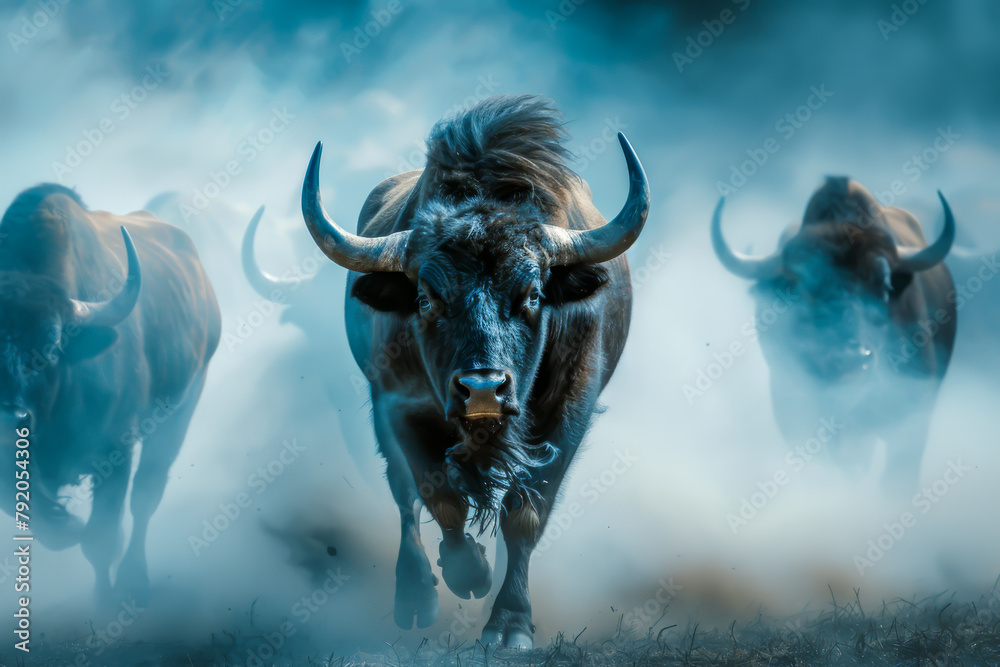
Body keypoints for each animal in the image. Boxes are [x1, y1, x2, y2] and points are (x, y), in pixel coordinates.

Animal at [0, 184, 220, 604]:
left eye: (51, 345)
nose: (10, 421)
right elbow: (48, 525)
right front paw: (63, 521)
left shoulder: (115, 452)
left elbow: (100, 539)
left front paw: (107, 600)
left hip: (181, 411)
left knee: (146, 495)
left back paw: (135, 576)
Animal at [295, 95, 650, 648]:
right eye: (425, 297)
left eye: (533, 294)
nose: (483, 390)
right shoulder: (398, 406)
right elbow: (439, 497)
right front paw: (469, 574)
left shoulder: (569, 411)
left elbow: (525, 515)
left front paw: (510, 624)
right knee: (403, 493)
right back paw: (414, 597)